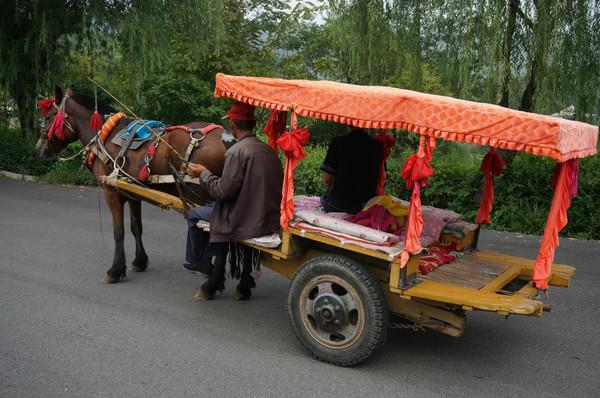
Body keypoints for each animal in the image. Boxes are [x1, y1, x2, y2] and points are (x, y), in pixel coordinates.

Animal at [35, 86, 227, 286]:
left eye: (48, 117)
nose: (38, 149)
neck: (107, 135)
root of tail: (226, 140)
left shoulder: (111, 192)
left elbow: (118, 232)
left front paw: (115, 270)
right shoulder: (133, 192)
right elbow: (136, 227)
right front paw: (139, 261)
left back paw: (212, 280)